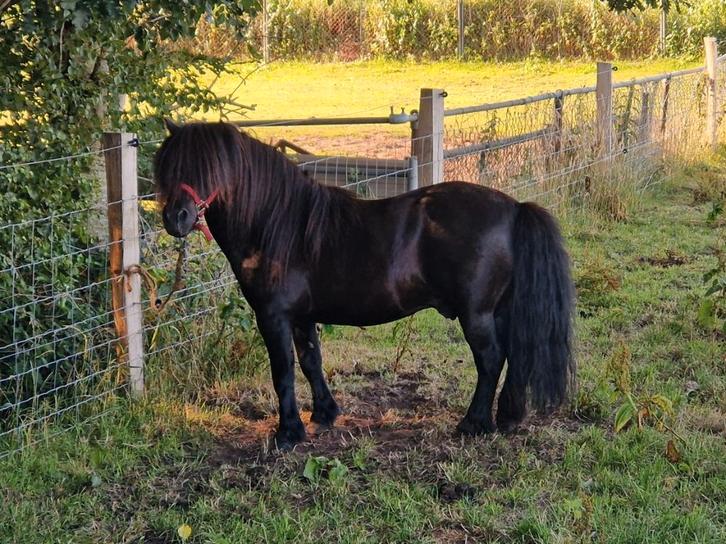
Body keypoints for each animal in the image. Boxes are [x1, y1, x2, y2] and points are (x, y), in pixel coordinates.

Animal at [154, 120, 575, 450]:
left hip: (477, 315)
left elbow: (283, 372)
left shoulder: (273, 316)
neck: (277, 225)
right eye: (170, 166)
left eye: (209, 167)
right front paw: (324, 415)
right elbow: (310, 362)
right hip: (499, 310)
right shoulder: (301, 316)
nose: (176, 218)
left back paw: (473, 424)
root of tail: (515, 208)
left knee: (490, 360)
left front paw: (287, 434)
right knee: (514, 356)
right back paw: (507, 418)